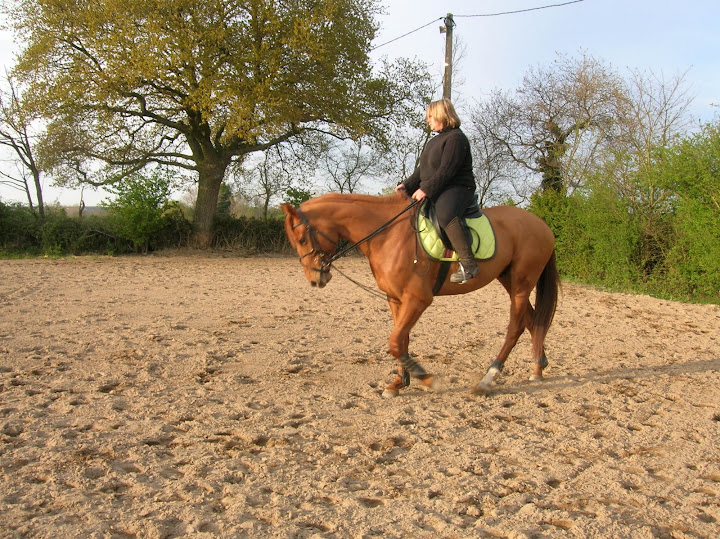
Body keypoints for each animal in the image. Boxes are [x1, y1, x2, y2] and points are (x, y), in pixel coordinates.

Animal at [281, 192, 559, 398]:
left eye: (303, 239)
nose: (315, 280)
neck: (387, 235)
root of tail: (542, 225)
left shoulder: (418, 299)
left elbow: (395, 342)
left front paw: (426, 379)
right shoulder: (395, 298)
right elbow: (400, 340)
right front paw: (398, 383)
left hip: (522, 283)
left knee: (516, 327)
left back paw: (488, 379)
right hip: (509, 280)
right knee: (533, 320)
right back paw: (538, 368)